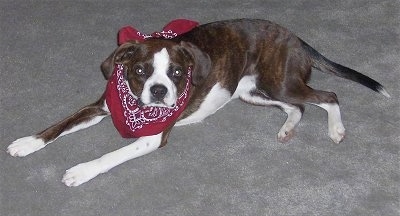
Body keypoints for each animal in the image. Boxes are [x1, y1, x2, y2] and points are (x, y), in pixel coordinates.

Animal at [6, 18, 390, 186]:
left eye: (177, 73)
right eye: (141, 70)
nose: (159, 91)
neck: (137, 109)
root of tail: (296, 37)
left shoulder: (152, 137)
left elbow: (110, 156)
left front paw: (81, 171)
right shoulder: (99, 107)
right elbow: (58, 126)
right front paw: (27, 143)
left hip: (280, 83)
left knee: (328, 96)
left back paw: (336, 129)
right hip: (252, 91)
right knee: (299, 107)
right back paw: (286, 129)